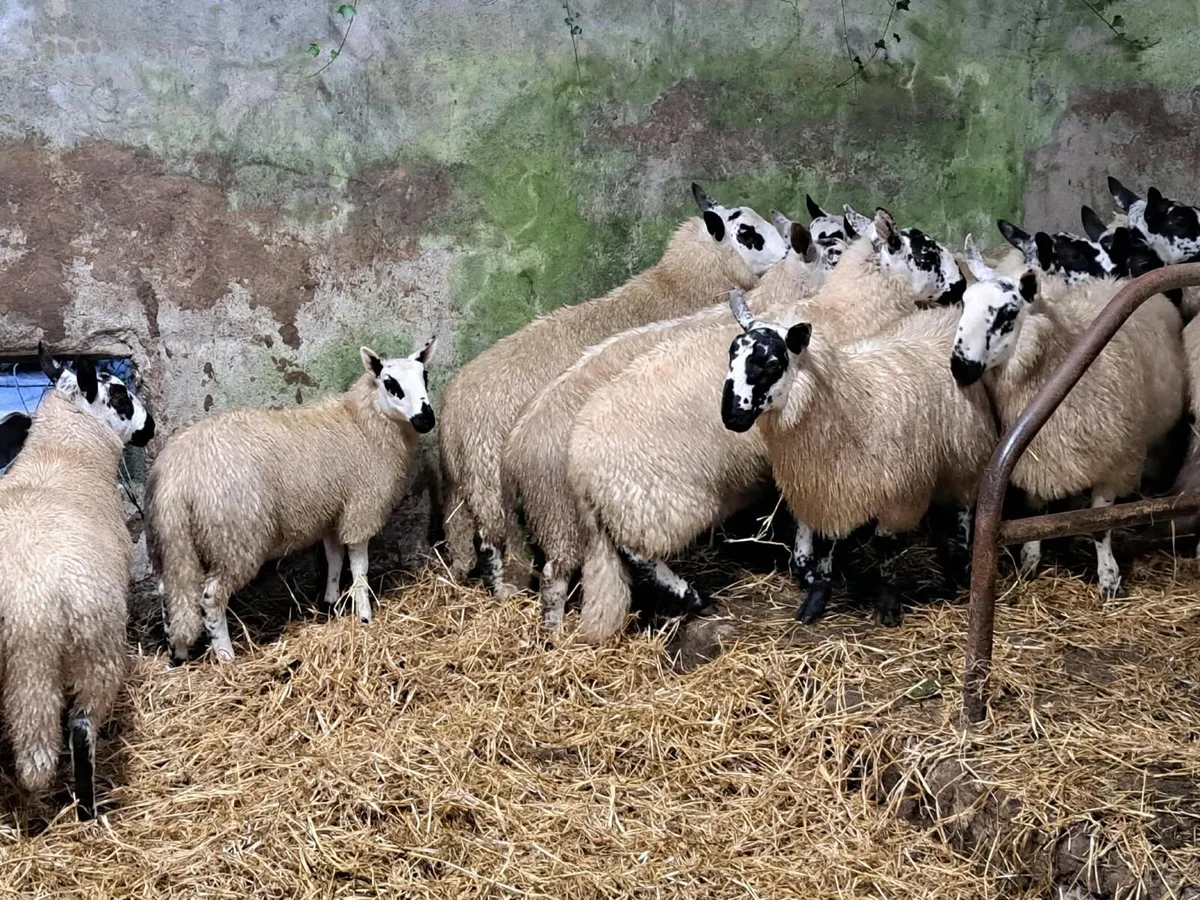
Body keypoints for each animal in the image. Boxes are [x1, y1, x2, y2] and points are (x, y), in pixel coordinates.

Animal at [0, 345, 155, 820]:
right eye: (121, 396)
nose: (151, 428)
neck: (64, 457)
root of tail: (25, 608)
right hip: (87, 651)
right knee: (78, 728)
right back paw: (88, 807)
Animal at [149, 338, 436, 663]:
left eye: (425, 376)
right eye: (390, 384)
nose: (426, 419)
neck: (362, 423)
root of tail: (176, 477)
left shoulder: (332, 512)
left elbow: (334, 558)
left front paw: (330, 603)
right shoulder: (361, 509)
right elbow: (359, 569)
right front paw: (364, 616)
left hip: (174, 540)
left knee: (169, 591)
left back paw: (177, 652)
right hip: (235, 538)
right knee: (211, 597)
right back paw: (225, 656)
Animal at [437, 183, 790, 597]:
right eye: (748, 233)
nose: (789, 249)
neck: (677, 286)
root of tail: (452, 420)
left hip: (466, 496)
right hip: (501, 493)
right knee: (501, 546)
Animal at [719, 291, 997, 626]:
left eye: (772, 363)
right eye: (731, 354)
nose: (731, 416)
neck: (849, 405)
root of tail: (945, 314)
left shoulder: (901, 495)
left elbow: (885, 546)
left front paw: (888, 602)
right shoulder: (830, 488)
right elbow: (827, 544)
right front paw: (817, 598)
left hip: (967, 452)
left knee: (966, 506)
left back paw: (962, 556)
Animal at [950, 238, 1185, 599]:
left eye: (1008, 313)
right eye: (963, 303)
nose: (959, 367)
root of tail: (1117, 281)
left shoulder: (1115, 464)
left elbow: (1100, 526)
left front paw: (1109, 579)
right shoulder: (1038, 462)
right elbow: (1035, 515)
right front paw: (1029, 562)